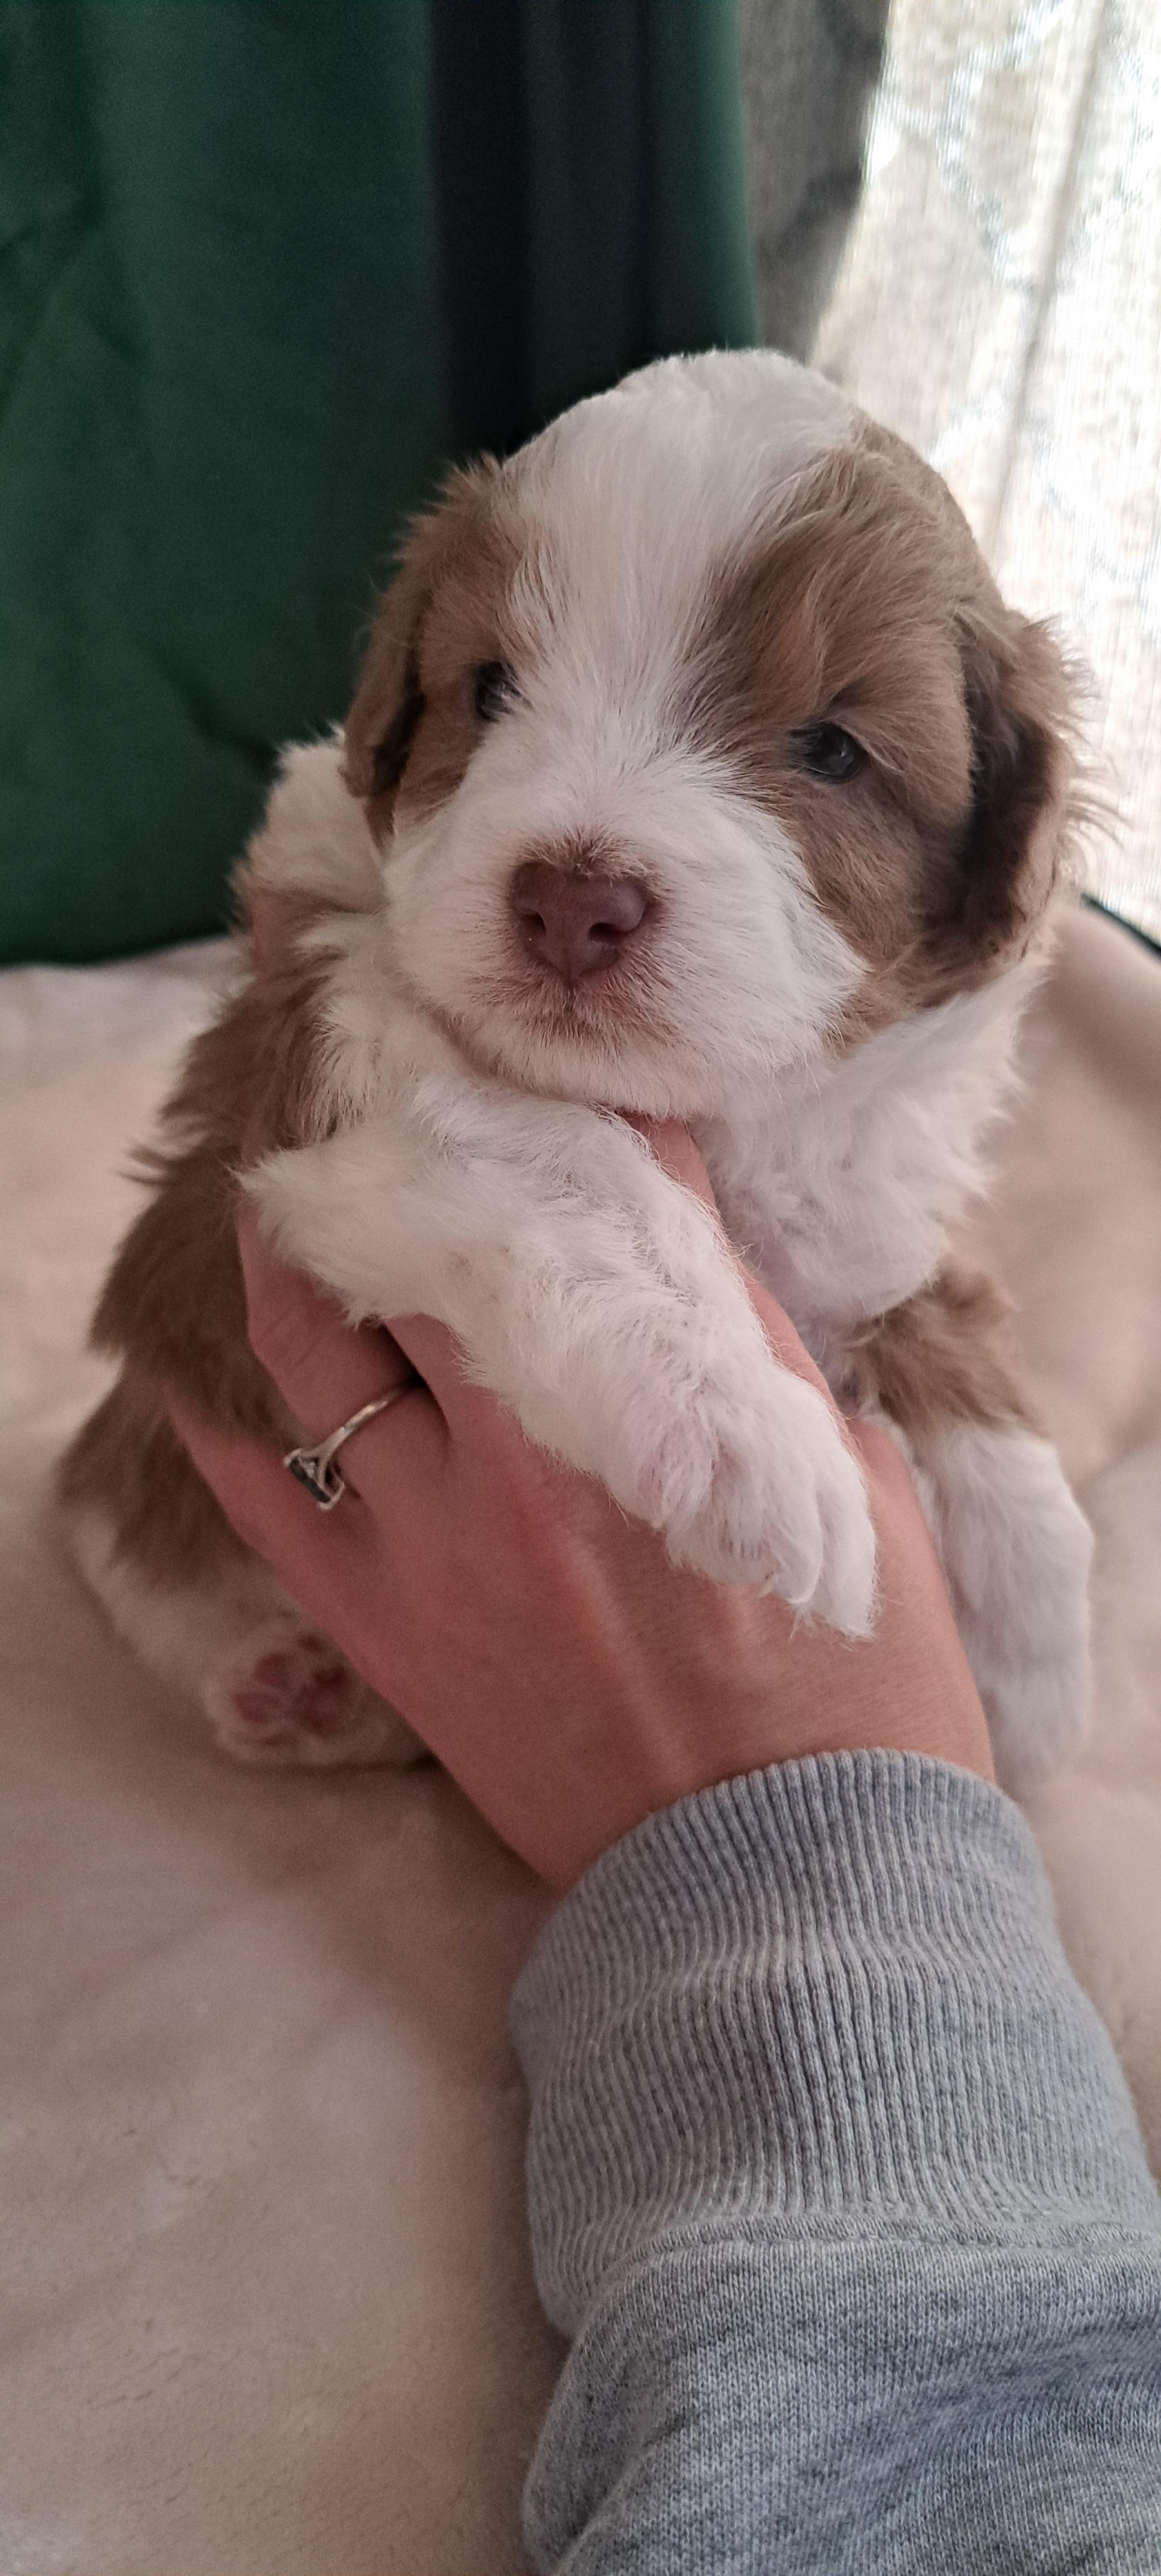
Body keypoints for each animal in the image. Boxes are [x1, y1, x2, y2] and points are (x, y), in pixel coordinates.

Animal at [58, 350, 1093, 1790]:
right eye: (490, 687)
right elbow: (567, 1171)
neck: (718, 1114)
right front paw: (747, 1435)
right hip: (145, 1463)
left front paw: (1032, 1628)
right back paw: (291, 1683)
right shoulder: (330, 1025)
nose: (570, 900)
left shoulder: (866, 1187)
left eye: (829, 750)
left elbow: (940, 1313)